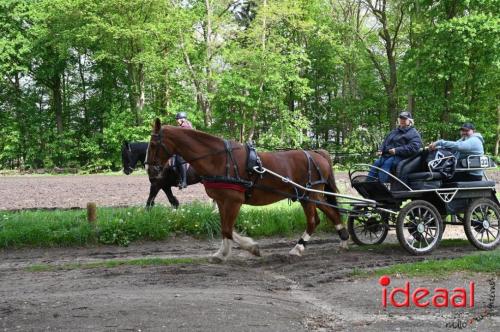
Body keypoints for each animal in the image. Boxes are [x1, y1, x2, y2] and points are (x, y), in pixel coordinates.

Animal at [145, 119, 348, 262]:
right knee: (328, 215)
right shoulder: (222, 201)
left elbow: (227, 229)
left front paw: (248, 248)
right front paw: (223, 252)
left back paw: (301, 248)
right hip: (309, 196)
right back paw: (342, 239)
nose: (149, 169)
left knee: (317, 219)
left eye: (153, 144)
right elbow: (224, 227)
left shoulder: (234, 201)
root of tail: (316, 153)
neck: (219, 159)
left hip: (310, 195)